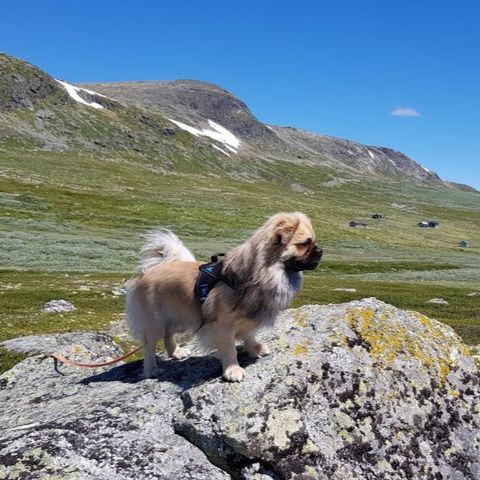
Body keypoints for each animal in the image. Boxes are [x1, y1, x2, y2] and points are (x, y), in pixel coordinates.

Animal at [127, 212, 322, 380]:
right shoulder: (223, 327)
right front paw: (233, 370)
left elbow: (249, 335)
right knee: (149, 346)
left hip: (179, 316)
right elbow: (229, 349)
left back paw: (176, 352)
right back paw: (152, 370)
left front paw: (255, 349)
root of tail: (149, 271)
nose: (320, 250)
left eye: (313, 242)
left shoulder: (247, 318)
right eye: (304, 243)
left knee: (168, 335)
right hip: (155, 323)